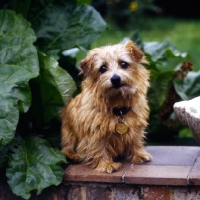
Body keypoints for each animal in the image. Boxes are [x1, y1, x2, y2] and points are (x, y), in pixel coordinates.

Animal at [60, 39, 152, 173]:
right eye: (103, 68)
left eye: (123, 64)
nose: (115, 79)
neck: (118, 106)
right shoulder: (95, 132)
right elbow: (99, 147)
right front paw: (106, 165)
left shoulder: (135, 126)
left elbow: (135, 140)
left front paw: (138, 154)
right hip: (68, 133)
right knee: (66, 147)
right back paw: (72, 155)